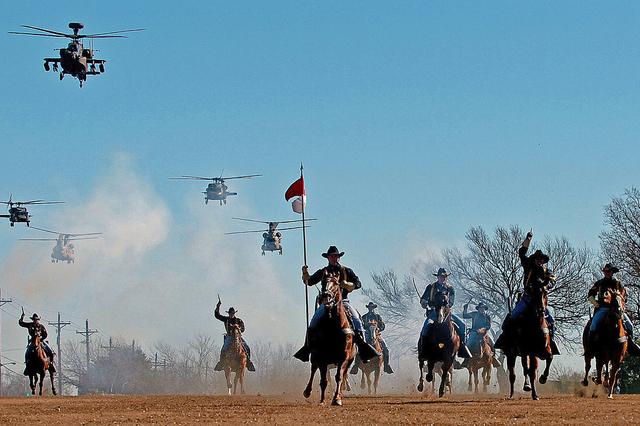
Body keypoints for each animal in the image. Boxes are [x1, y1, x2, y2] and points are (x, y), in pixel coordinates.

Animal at [304, 272, 358, 406]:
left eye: (337, 283)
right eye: (323, 282)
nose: (326, 296)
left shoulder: (343, 357)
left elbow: (339, 377)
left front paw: (337, 399)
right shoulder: (321, 357)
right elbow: (324, 380)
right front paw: (322, 400)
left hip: (348, 360)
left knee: (343, 375)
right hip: (315, 357)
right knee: (313, 370)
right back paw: (307, 391)